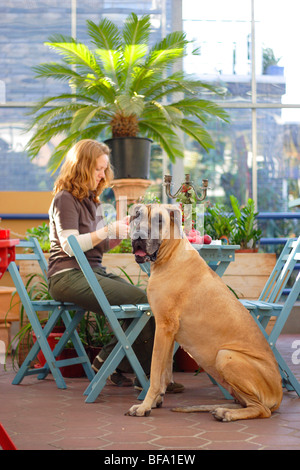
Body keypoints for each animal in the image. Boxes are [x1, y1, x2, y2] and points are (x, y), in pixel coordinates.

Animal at [125, 205, 282, 422]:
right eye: (136, 217)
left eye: (159, 220)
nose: (139, 236)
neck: (171, 255)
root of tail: (280, 395)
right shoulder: (168, 332)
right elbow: (165, 370)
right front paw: (156, 400)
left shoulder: (164, 327)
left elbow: (156, 373)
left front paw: (144, 406)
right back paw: (222, 408)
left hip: (225, 355)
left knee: (262, 409)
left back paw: (228, 413)